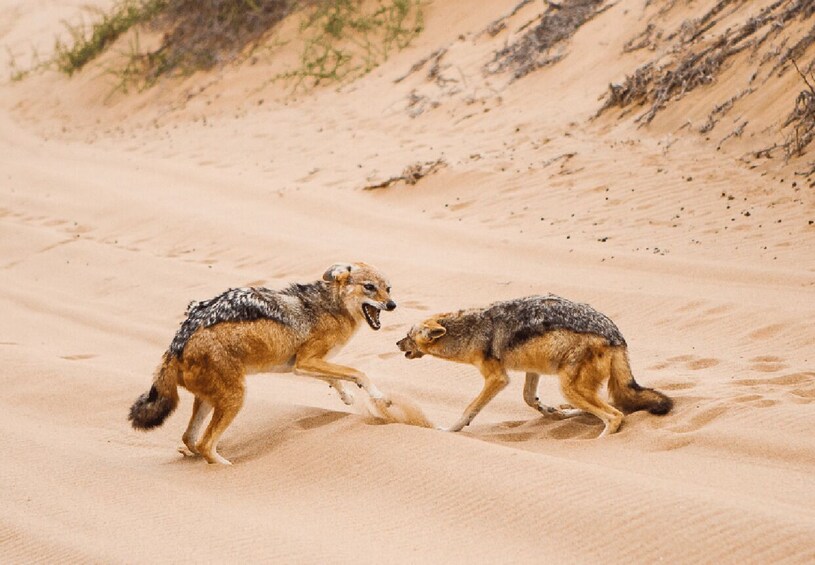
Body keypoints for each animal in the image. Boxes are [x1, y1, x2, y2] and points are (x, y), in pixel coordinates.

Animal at [129, 262, 396, 464]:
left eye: (388, 289)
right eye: (370, 287)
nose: (392, 305)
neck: (332, 306)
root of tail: (176, 346)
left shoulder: (302, 366)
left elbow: (337, 377)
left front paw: (347, 397)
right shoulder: (306, 361)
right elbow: (358, 372)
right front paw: (378, 397)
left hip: (208, 401)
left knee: (190, 438)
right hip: (235, 399)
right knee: (204, 444)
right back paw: (227, 467)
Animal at [397, 294, 672, 436]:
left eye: (409, 335)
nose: (397, 343)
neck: (471, 331)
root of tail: (617, 336)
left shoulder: (498, 378)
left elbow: (469, 409)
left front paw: (450, 429)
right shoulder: (532, 370)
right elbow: (530, 399)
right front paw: (550, 412)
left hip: (569, 387)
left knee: (614, 416)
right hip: (574, 389)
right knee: (607, 407)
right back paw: (567, 412)